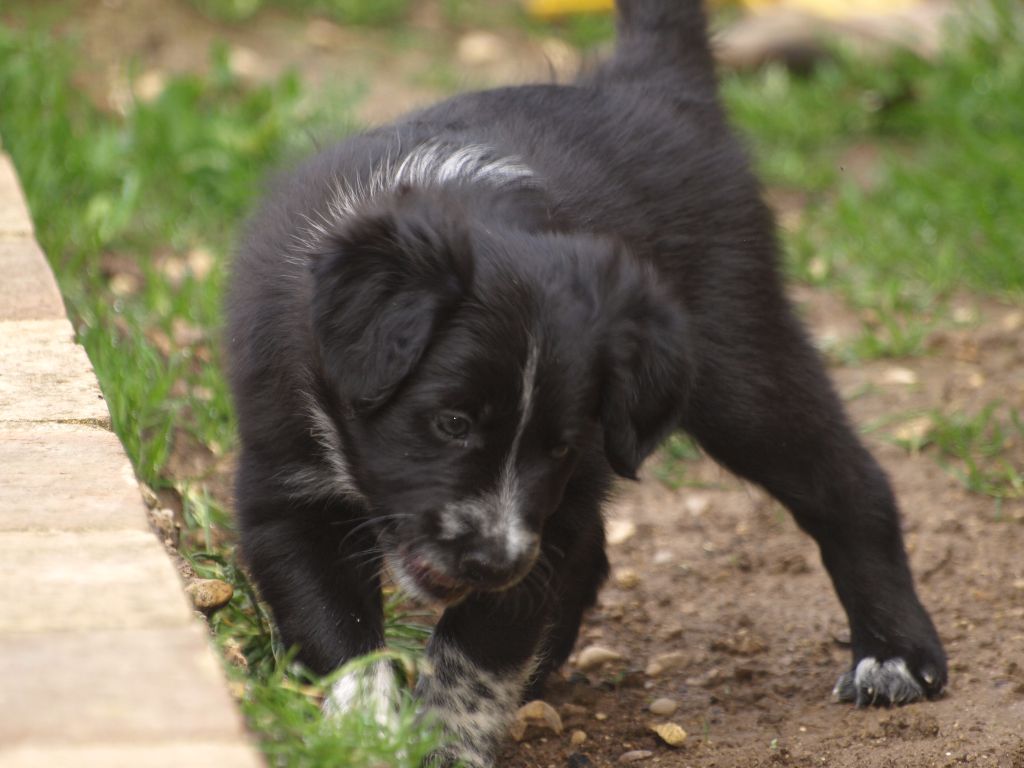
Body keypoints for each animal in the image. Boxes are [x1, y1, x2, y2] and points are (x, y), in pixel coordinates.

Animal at [228, 3, 946, 765]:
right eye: (451, 422)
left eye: (558, 444)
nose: (492, 561)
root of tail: (651, 83)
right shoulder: (282, 490)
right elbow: (341, 635)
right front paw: (368, 734)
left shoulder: (551, 508)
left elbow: (477, 651)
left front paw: (446, 743)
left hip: (740, 363)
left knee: (847, 484)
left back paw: (894, 654)